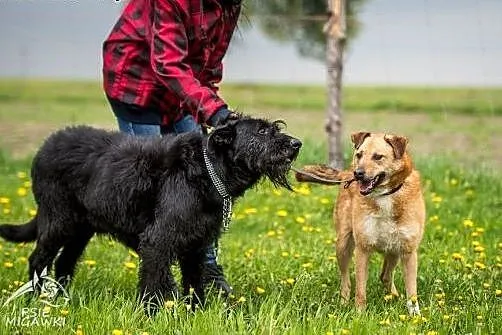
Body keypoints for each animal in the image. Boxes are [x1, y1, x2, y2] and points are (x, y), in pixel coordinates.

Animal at [0, 117, 302, 314]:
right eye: (262, 131)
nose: (296, 143)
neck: (207, 170)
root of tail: (44, 147)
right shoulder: (157, 242)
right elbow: (155, 282)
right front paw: (152, 314)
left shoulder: (196, 245)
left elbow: (194, 282)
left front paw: (197, 313)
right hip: (58, 222)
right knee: (38, 259)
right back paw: (36, 299)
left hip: (80, 230)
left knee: (64, 262)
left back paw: (64, 299)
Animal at [296, 133, 426, 316]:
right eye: (359, 155)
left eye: (378, 157)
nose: (358, 174)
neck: (384, 195)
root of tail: (346, 172)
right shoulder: (362, 249)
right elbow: (360, 290)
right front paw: (359, 315)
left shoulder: (408, 251)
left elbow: (412, 293)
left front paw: (415, 317)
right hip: (343, 245)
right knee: (346, 281)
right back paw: (344, 303)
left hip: (394, 250)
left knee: (385, 276)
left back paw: (394, 297)